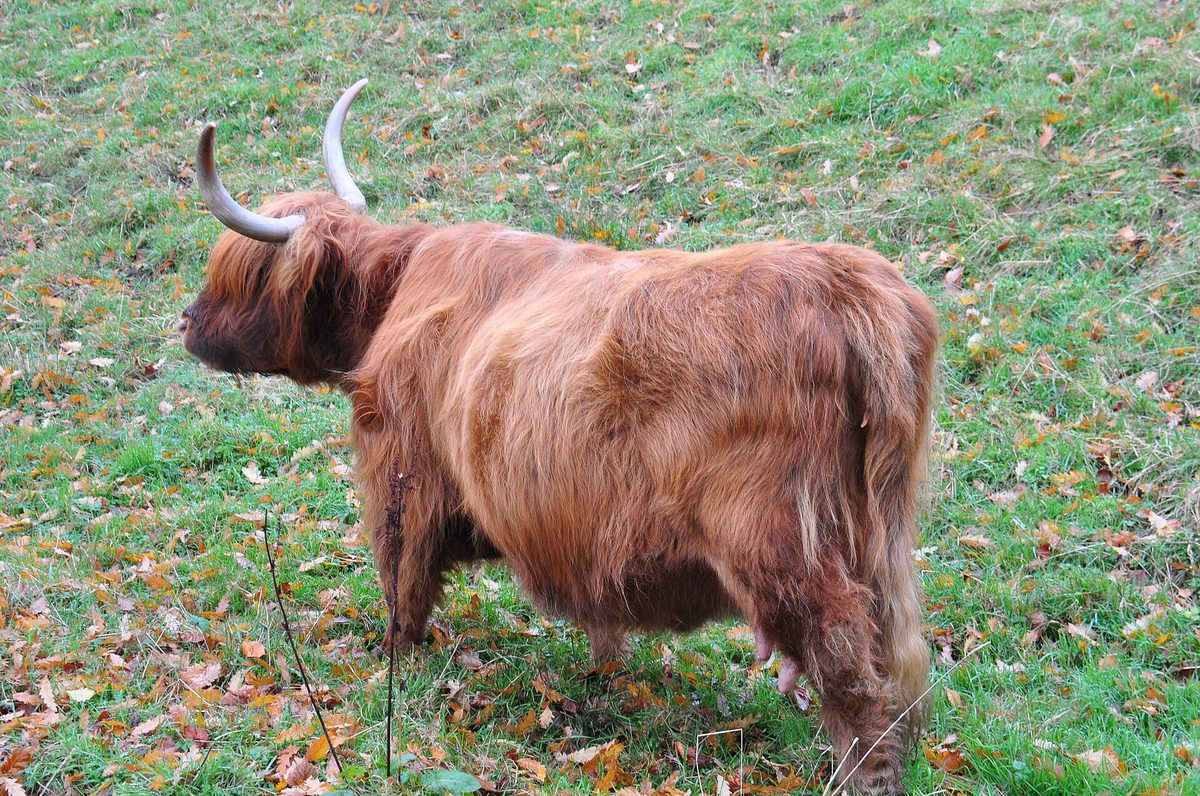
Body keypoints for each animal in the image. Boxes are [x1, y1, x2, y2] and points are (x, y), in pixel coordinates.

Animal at [180, 80, 938, 794]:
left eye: (240, 275)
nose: (187, 323)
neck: (396, 291)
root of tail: (849, 284)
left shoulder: (403, 470)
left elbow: (403, 578)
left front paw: (395, 660)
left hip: (787, 548)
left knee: (850, 674)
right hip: (882, 537)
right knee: (894, 660)